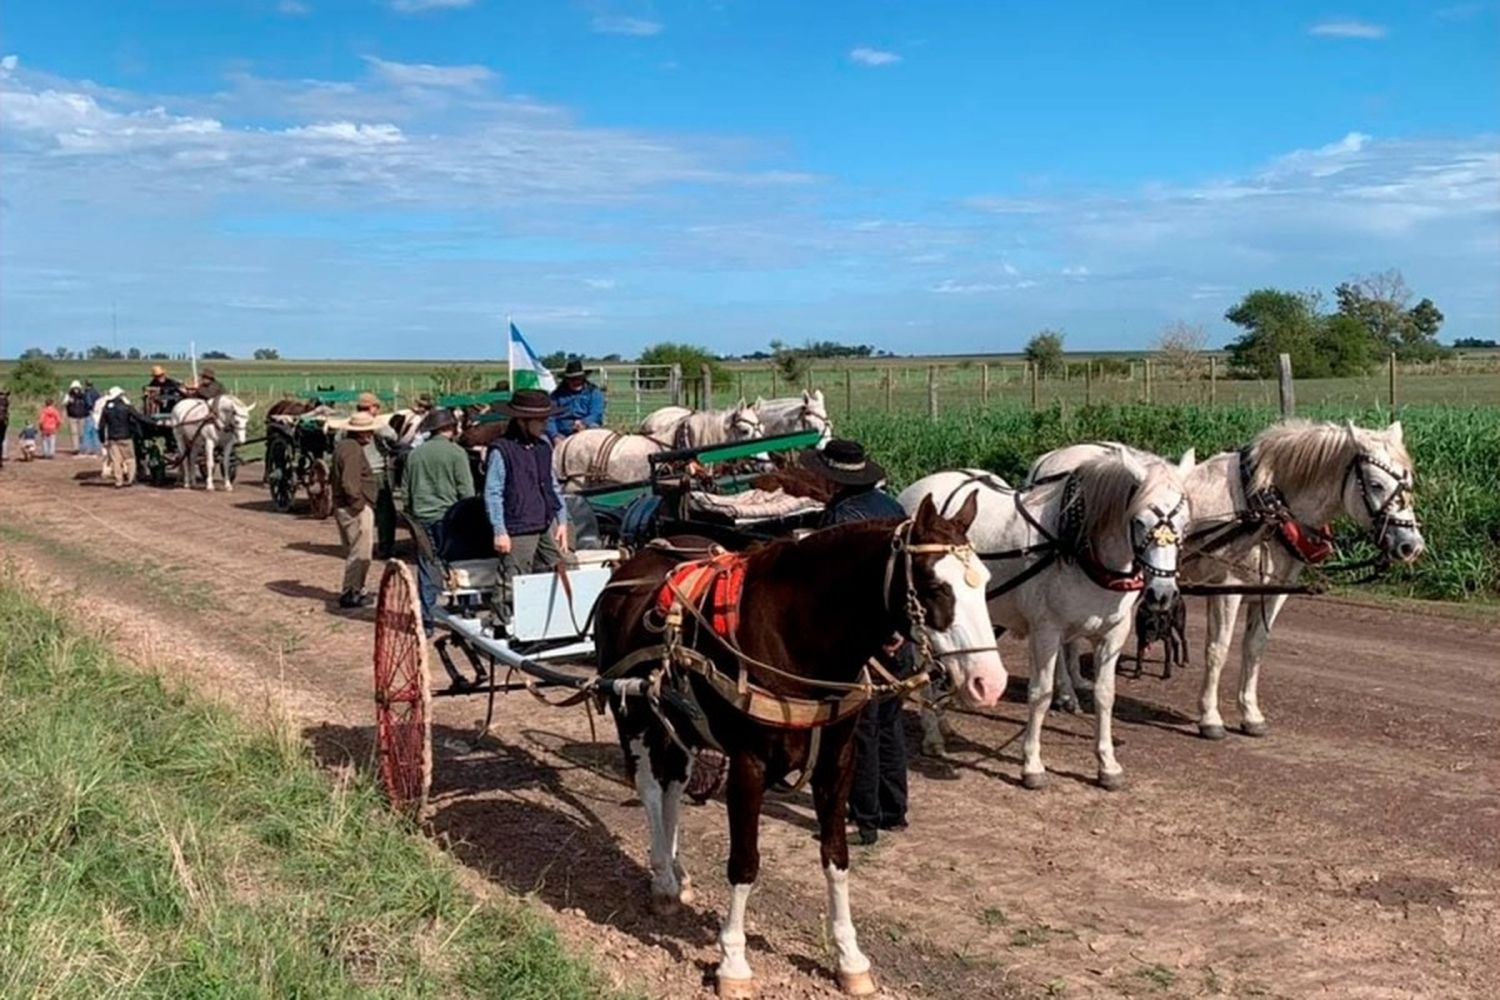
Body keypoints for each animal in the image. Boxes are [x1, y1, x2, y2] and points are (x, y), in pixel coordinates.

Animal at [591, 497, 1002, 995]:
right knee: (652, 788)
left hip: (680, 724)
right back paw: (664, 880)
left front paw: (849, 957)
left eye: (985, 581)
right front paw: (733, 963)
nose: (990, 682)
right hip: (632, 711)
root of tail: (635, 561)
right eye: (934, 586)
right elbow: (744, 864)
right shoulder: (747, 767)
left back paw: (676, 874)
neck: (794, 637)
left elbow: (836, 858)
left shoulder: (838, 764)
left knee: (672, 788)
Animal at [894, 452, 1188, 791]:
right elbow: (1041, 693)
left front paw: (1107, 765)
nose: (1162, 594)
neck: (1076, 547)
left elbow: (1105, 695)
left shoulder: (1113, 633)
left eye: (1185, 523)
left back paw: (944, 724)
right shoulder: (1047, 630)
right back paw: (932, 736)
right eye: (1140, 521)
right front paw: (1032, 765)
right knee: (925, 673)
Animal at [1026, 419, 1422, 740]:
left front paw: (1251, 715)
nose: (1410, 545)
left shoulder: (1271, 592)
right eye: (1375, 483)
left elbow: (1254, 649)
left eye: (1408, 482)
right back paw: (1065, 693)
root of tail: (1049, 460)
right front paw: (1210, 719)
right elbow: (1218, 650)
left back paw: (1075, 684)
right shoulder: (1227, 588)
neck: (1266, 505)